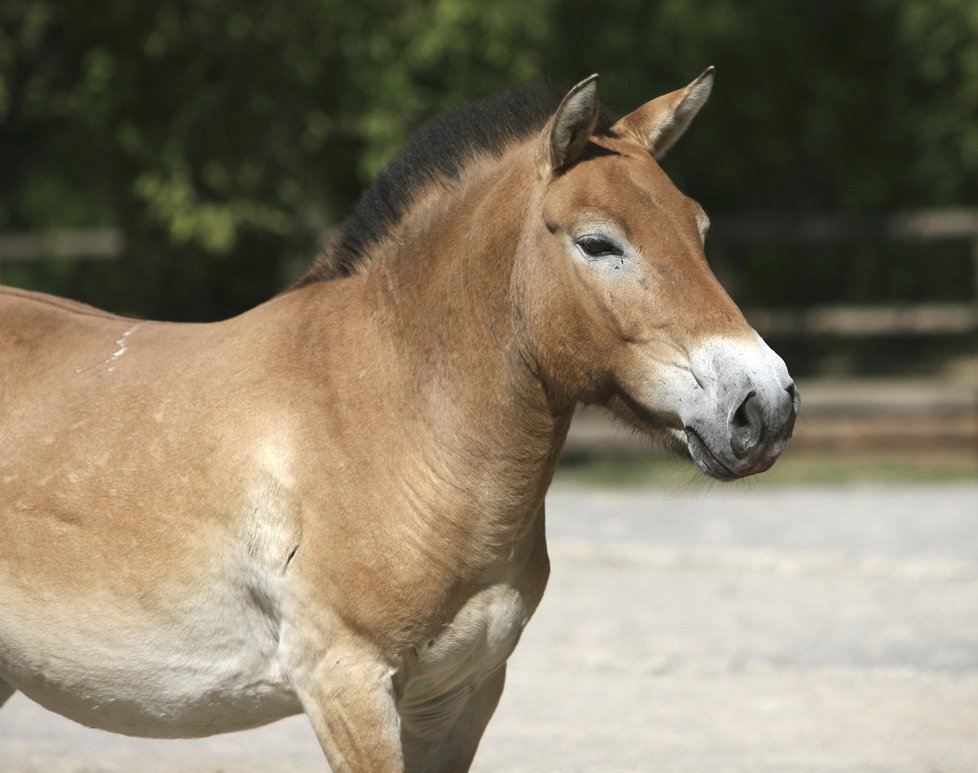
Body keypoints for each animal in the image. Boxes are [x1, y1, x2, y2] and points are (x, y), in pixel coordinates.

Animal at [0, 69, 792, 768]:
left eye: (698, 229)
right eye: (598, 242)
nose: (766, 407)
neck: (390, 419)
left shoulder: (462, 692)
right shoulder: (347, 686)